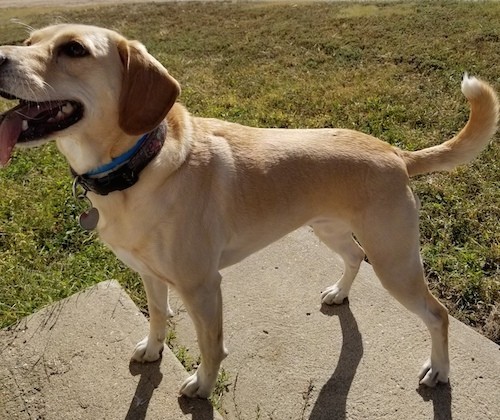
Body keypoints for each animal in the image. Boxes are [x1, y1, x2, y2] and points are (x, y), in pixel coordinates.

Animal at [0, 24, 498, 398]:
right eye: (27, 41)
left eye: (74, 49)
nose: (0, 56)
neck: (140, 165)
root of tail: (397, 154)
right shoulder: (149, 275)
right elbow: (159, 317)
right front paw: (153, 348)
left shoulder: (202, 288)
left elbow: (211, 347)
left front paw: (201, 386)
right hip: (330, 230)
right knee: (355, 256)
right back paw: (340, 292)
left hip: (395, 262)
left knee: (437, 313)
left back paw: (439, 371)